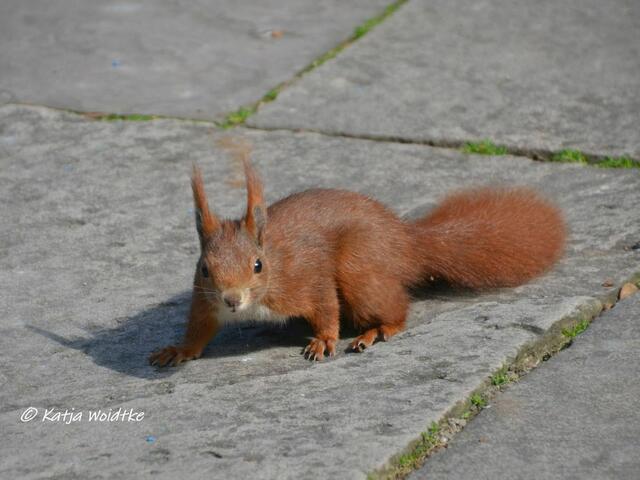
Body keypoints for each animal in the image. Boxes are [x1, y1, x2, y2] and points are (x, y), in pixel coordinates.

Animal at [149, 160, 565, 366]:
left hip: (358, 269)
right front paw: (179, 350)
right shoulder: (204, 301)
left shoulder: (306, 280)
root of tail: (405, 242)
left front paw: (323, 341)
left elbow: (325, 307)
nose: (232, 300)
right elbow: (199, 329)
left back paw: (375, 331)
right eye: (205, 268)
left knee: (397, 308)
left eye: (257, 265)